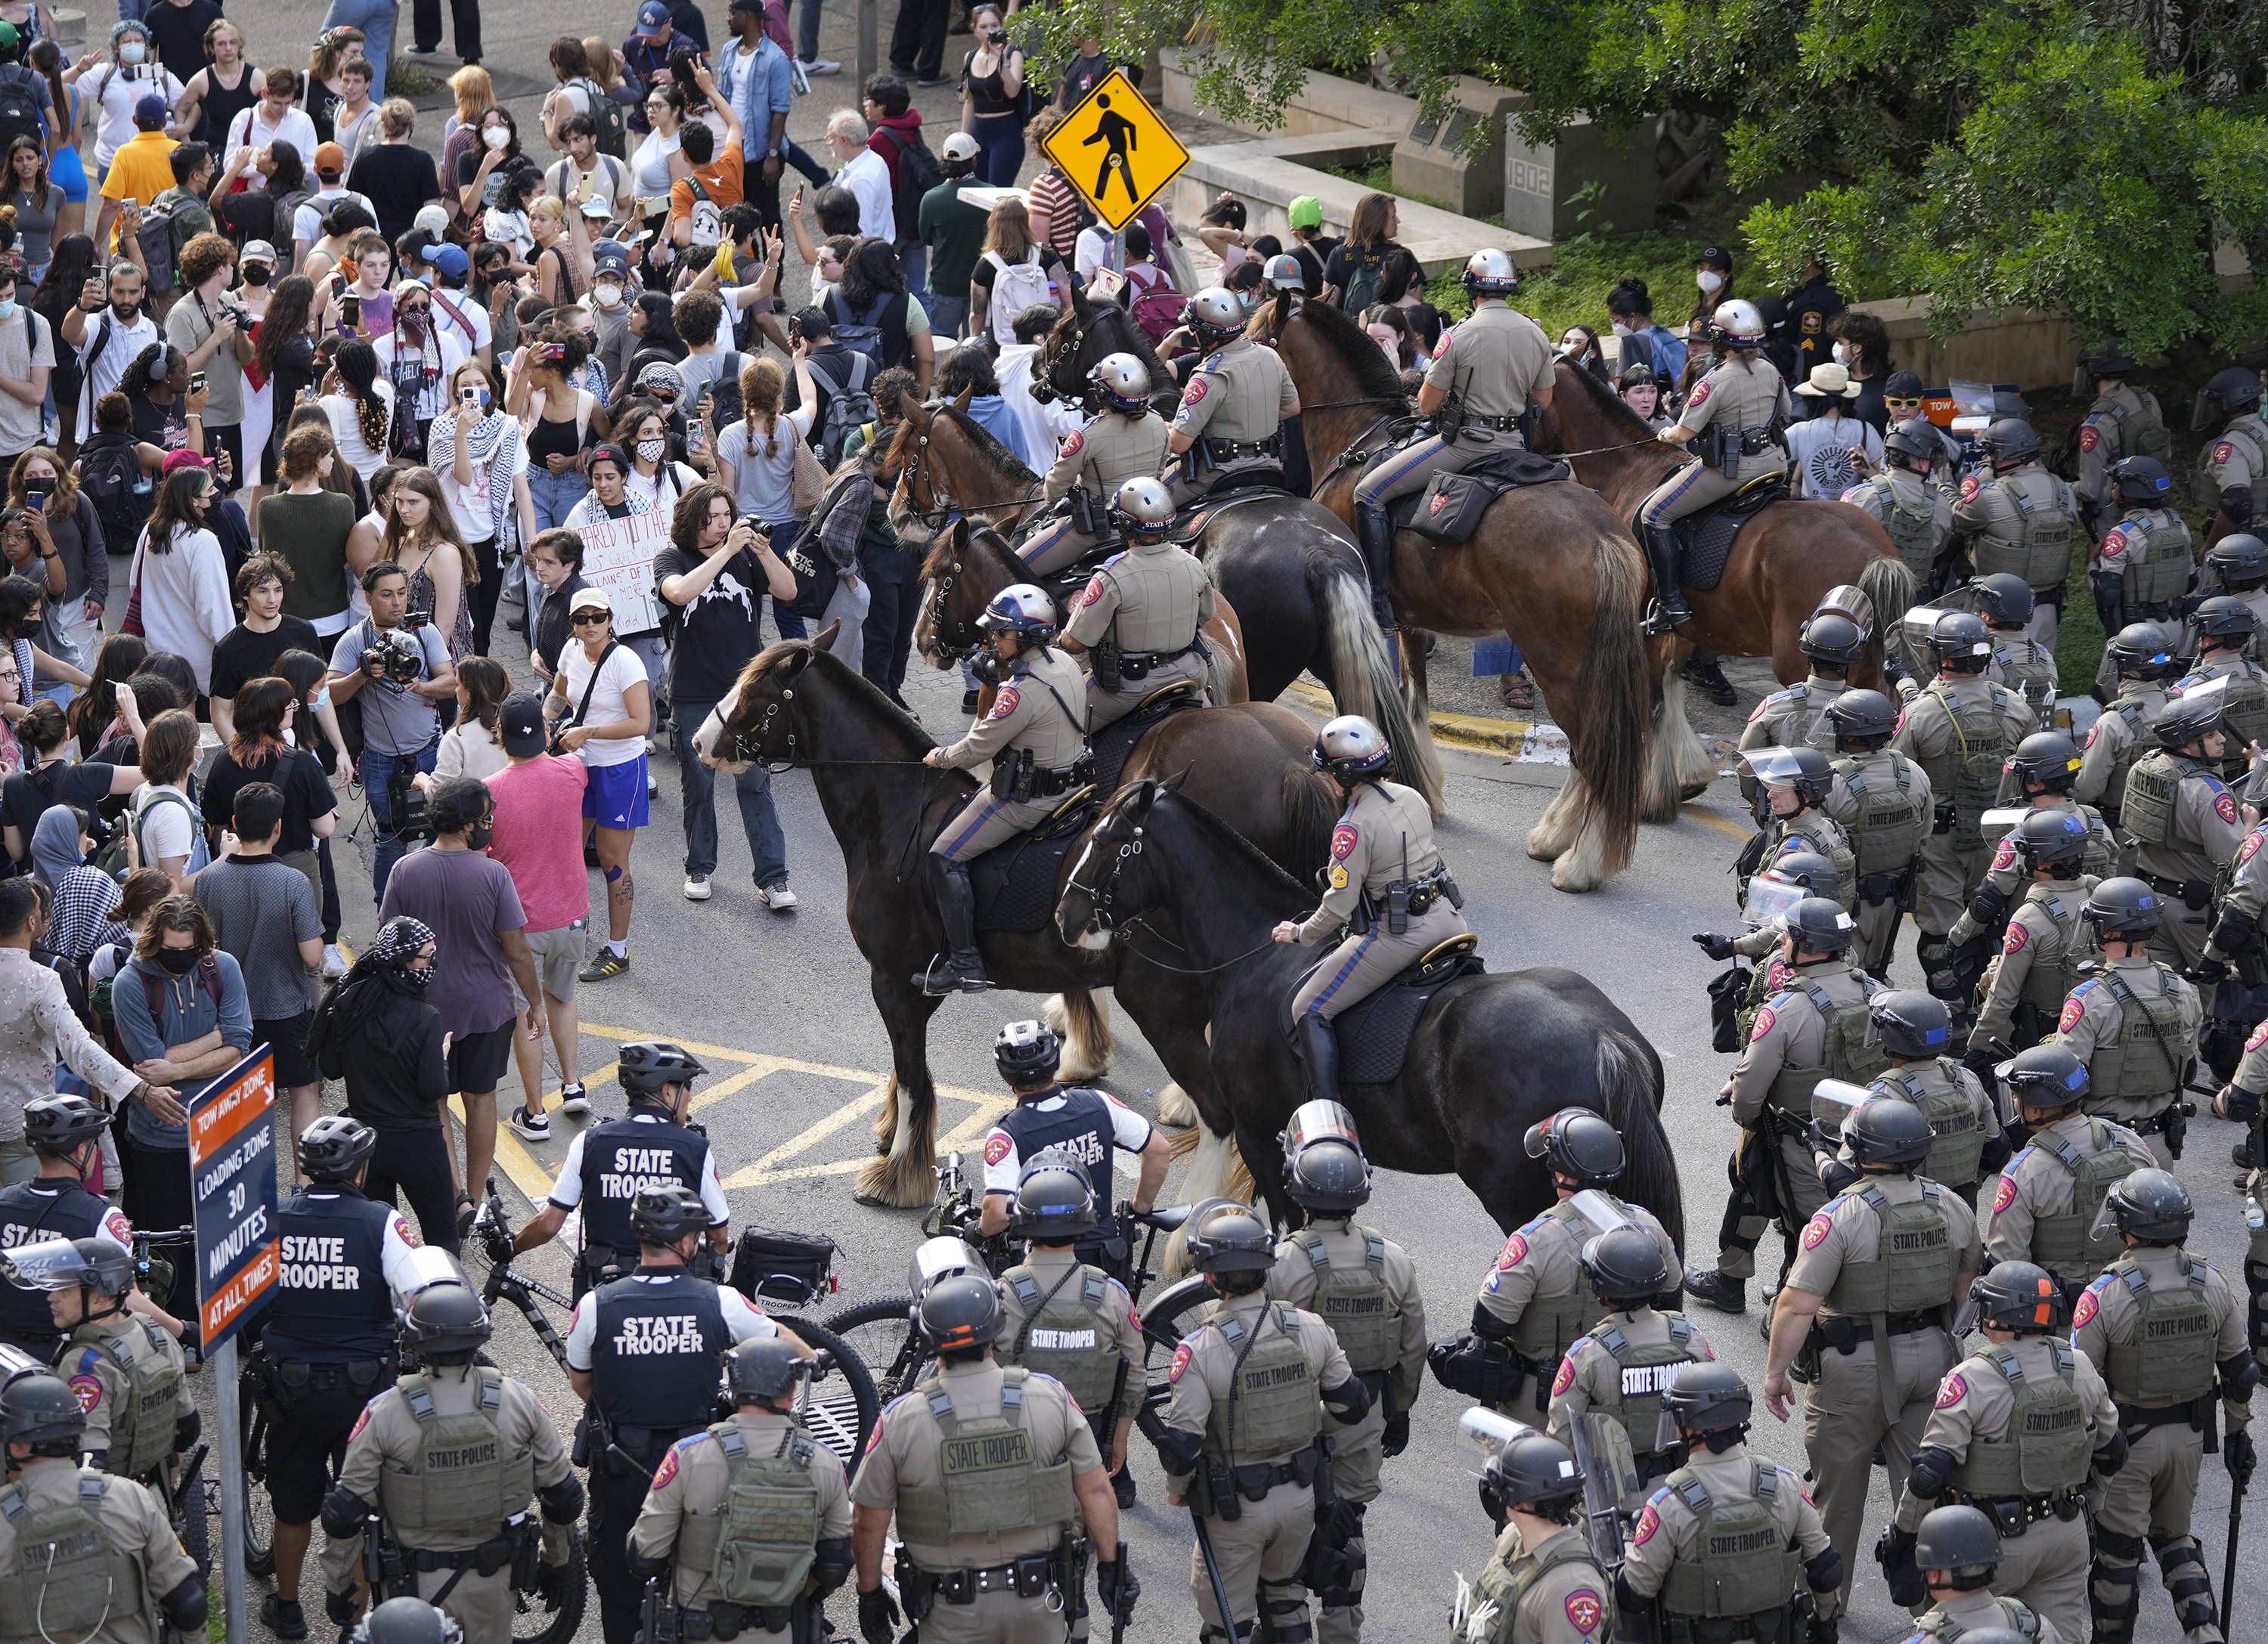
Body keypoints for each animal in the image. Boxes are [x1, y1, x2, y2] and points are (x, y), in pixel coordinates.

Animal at [712, 621, 1343, 1197]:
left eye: (756, 695)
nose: (702, 741)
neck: (896, 810)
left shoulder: (892, 977)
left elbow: (913, 1074)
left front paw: (896, 1173)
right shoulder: (909, 982)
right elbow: (904, 1068)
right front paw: (891, 1134)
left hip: (1162, 1012)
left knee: (1222, 1119)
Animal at [1270, 293, 1660, 884]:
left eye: (1256, 332)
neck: (1362, 434)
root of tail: (1602, 535)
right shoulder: (1409, 622)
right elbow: (1414, 702)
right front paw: (1423, 787)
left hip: (1560, 664)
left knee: (1593, 750)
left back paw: (1578, 860)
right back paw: (1557, 836)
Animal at [1533, 361, 1923, 821]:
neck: (1630, 471)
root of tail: (1872, 550)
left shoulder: (1645, 628)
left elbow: (1652, 700)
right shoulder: (1681, 630)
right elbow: (1670, 693)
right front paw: (1682, 779)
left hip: (1801, 663)